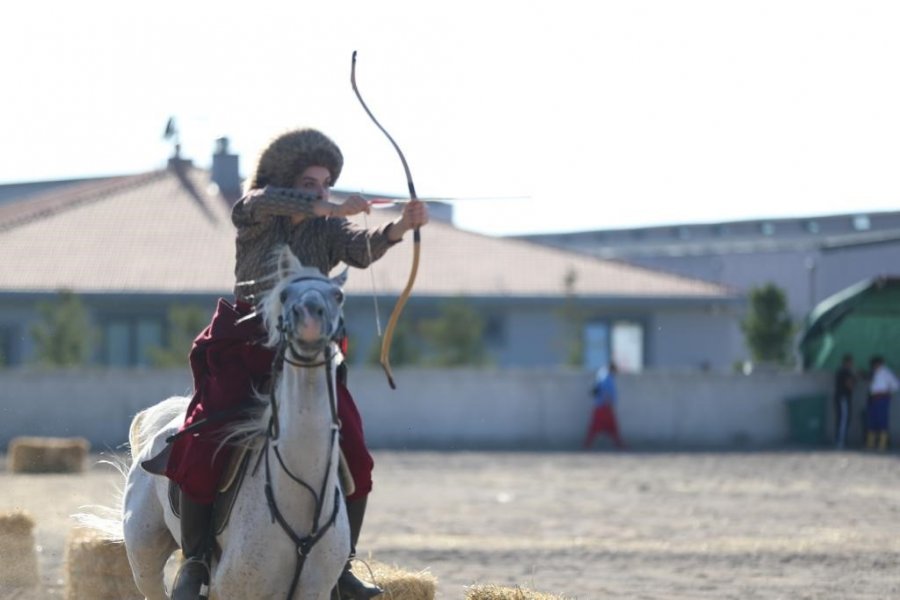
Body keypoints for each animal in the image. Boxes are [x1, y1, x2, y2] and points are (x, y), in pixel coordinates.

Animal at [122, 246, 352, 596]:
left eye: (337, 295)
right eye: (284, 294)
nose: (310, 320)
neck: (299, 493)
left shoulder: (315, 591)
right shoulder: (234, 589)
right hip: (143, 557)